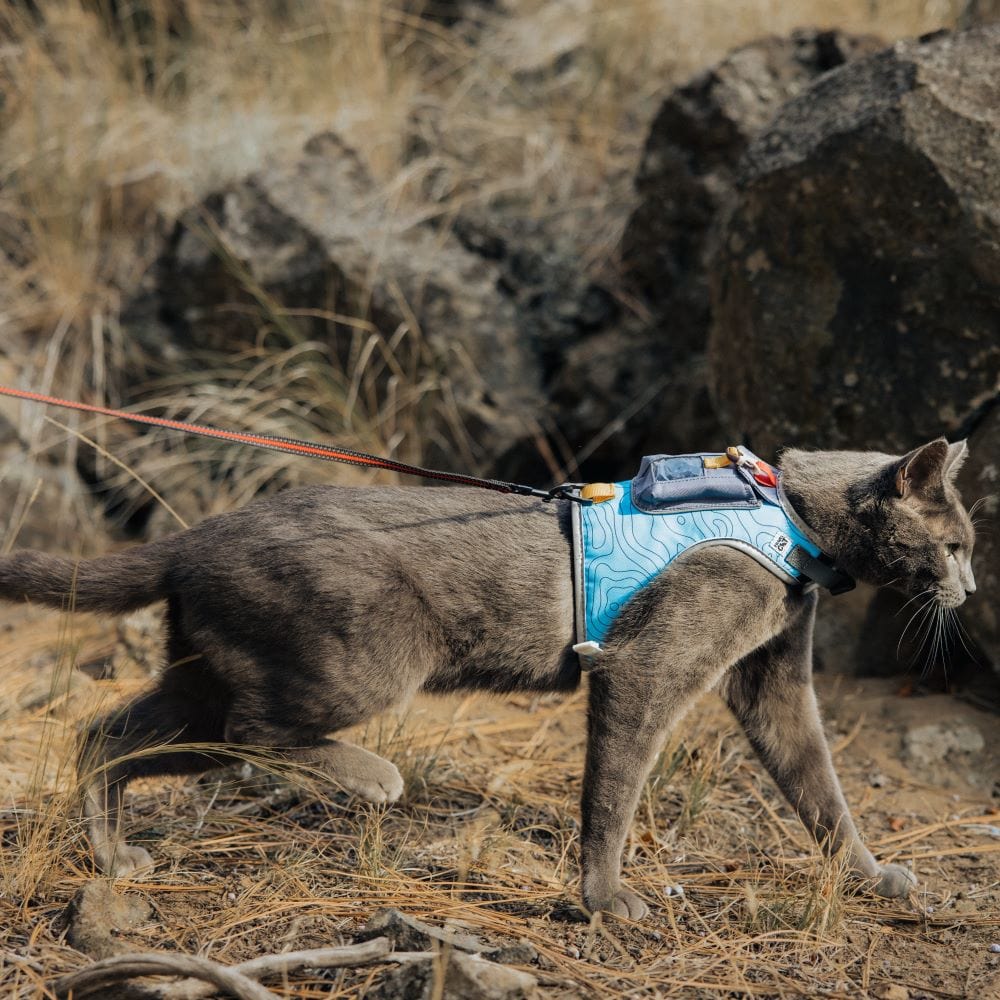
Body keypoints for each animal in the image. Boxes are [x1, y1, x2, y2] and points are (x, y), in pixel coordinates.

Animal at [0, 434, 972, 916]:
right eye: (959, 542)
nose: (969, 589)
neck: (791, 514)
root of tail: (192, 537)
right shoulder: (645, 666)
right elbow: (614, 789)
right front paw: (603, 899)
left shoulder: (773, 681)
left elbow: (819, 786)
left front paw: (871, 878)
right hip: (361, 661)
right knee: (253, 732)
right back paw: (373, 778)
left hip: (203, 673)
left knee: (107, 732)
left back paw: (113, 854)